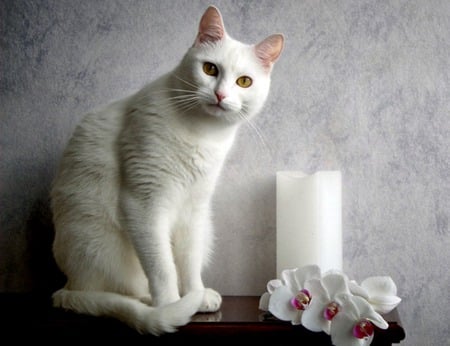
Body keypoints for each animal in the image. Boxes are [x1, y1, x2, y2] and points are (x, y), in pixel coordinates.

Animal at [51, 5, 284, 336]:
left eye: (243, 82)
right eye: (210, 69)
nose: (221, 95)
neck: (202, 133)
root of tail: (67, 287)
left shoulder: (194, 210)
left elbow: (188, 263)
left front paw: (194, 295)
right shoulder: (144, 204)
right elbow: (162, 267)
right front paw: (172, 305)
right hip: (98, 243)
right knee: (115, 290)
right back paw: (151, 303)